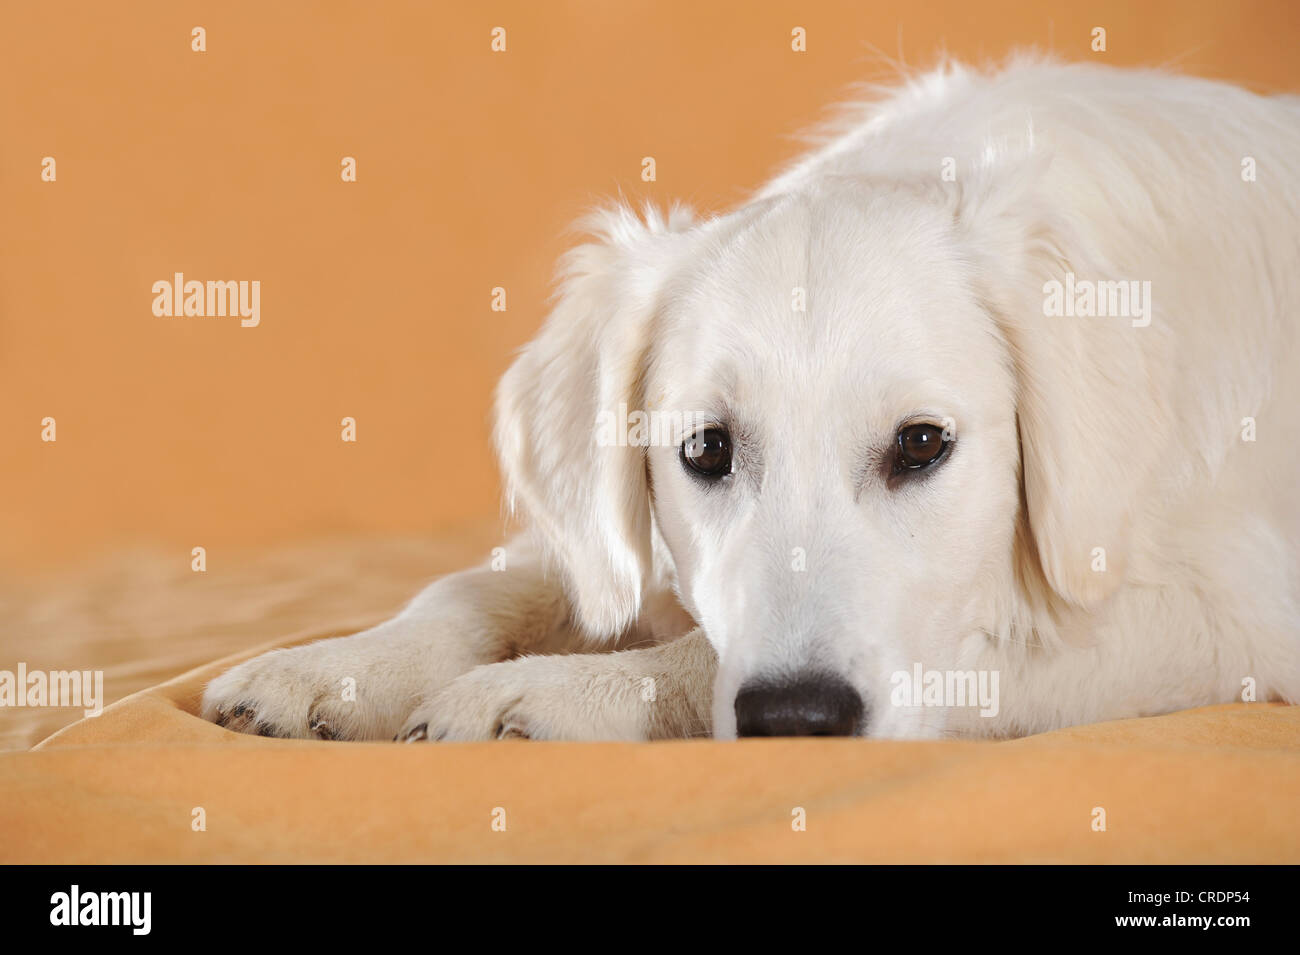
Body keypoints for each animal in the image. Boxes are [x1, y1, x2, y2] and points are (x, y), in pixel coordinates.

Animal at [202, 57, 1300, 748]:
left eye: (922, 445)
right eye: (706, 451)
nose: (798, 719)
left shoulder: (1231, 614)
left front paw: (564, 688)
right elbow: (482, 584)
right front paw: (342, 664)